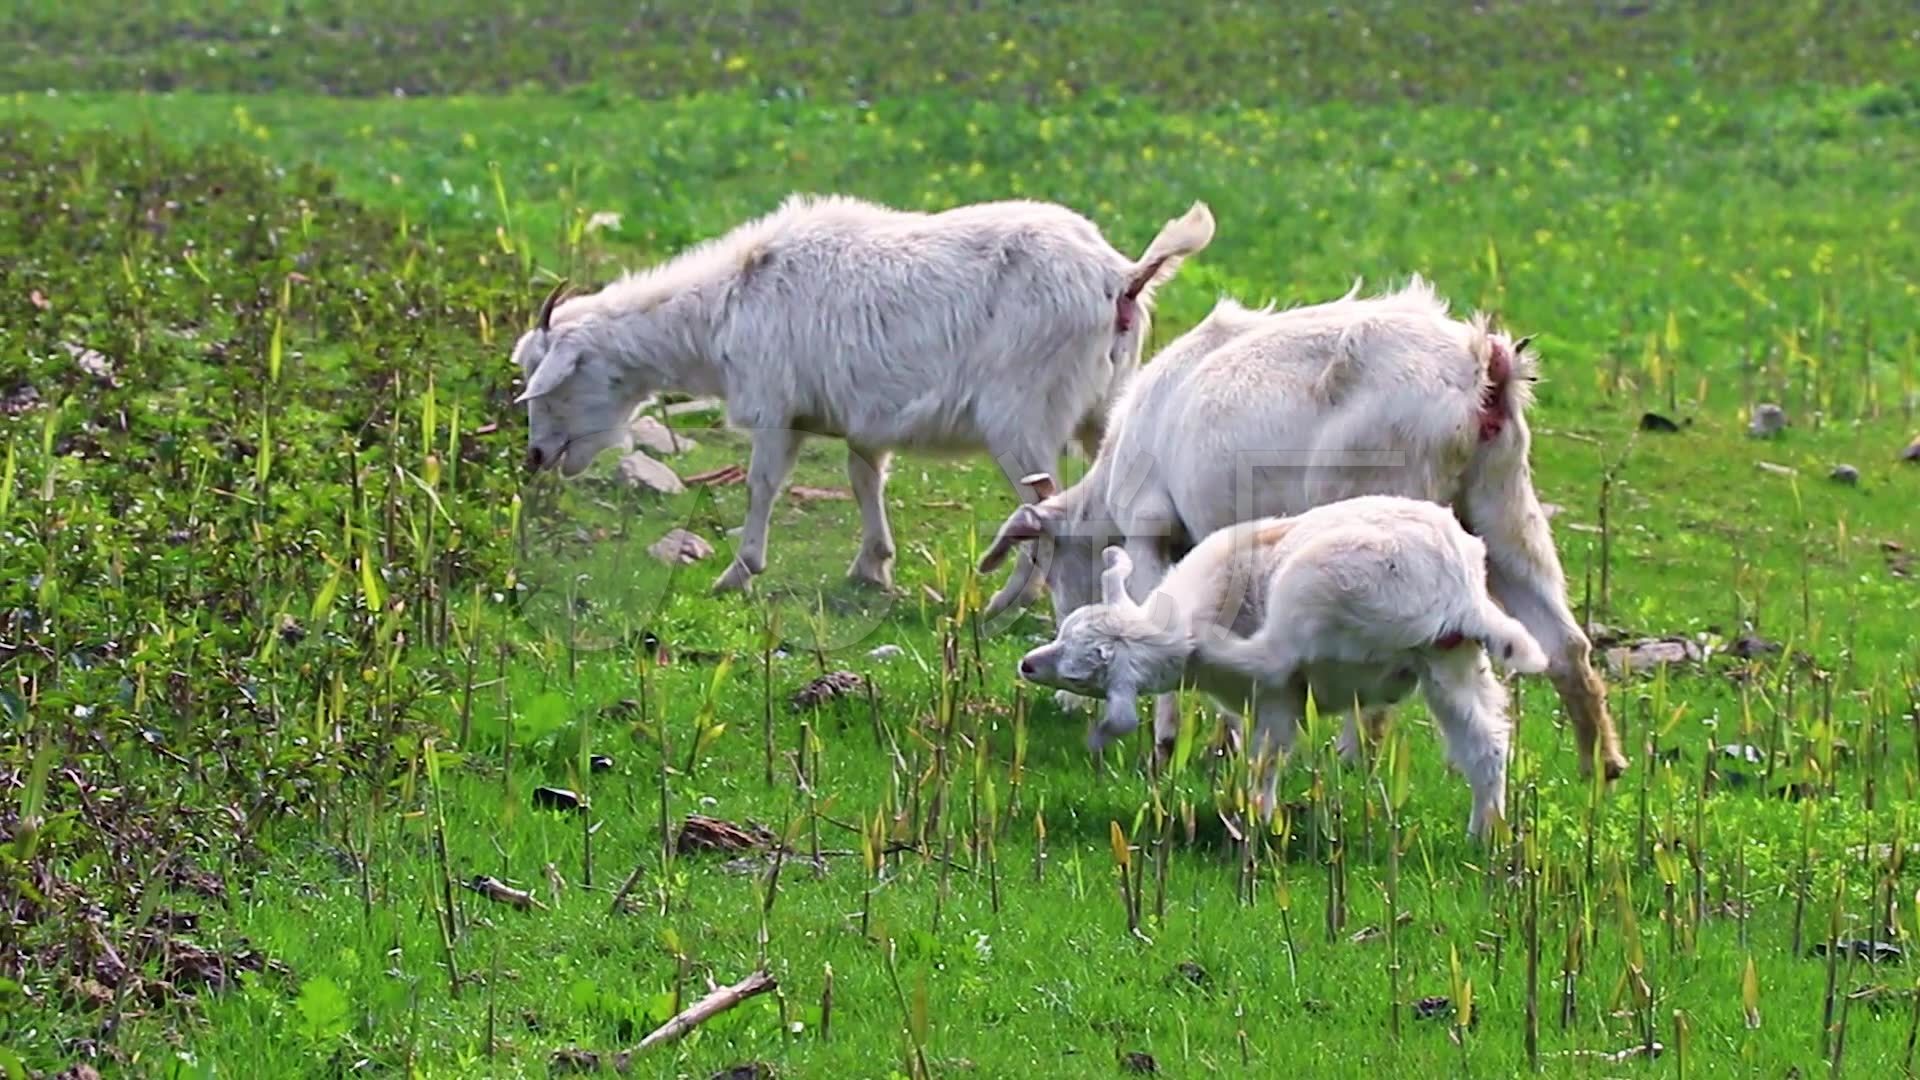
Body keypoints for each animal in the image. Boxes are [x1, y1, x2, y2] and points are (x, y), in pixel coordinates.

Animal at [503, 195, 1205, 595]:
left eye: (553, 387)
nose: (536, 457)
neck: (726, 306)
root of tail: (1123, 278)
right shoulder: (861, 417)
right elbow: (864, 478)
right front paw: (873, 566)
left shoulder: (775, 406)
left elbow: (761, 486)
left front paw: (737, 572)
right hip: (1104, 408)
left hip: (1022, 416)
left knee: (1045, 502)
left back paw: (1015, 598)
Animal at [975, 274, 1620, 780]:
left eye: (1053, 566)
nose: (1062, 694)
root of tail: (1484, 369)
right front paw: (1226, 739)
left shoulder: (1151, 528)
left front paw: (1166, 747)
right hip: (1503, 509)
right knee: (1566, 644)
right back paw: (1601, 767)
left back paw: (1352, 760)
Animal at [1021, 491, 1543, 837]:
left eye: (1081, 676)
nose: (1026, 665)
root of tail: (1461, 590)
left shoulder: (1276, 698)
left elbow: (1266, 758)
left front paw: (1257, 817)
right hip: (1449, 659)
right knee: (1486, 743)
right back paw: (1485, 832)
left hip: (1314, 590)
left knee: (1274, 651)